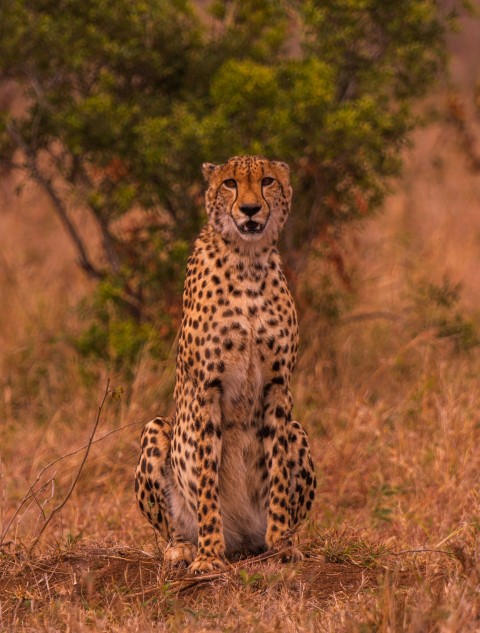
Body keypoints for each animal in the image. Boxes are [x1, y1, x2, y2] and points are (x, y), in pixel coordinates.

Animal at [135, 154, 316, 572]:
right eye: (230, 183)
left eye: (267, 181)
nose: (249, 209)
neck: (248, 261)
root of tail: (242, 538)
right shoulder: (206, 388)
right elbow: (206, 477)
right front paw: (208, 555)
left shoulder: (278, 385)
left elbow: (277, 469)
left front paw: (282, 543)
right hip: (157, 428)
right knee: (173, 525)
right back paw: (185, 547)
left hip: (299, 430)